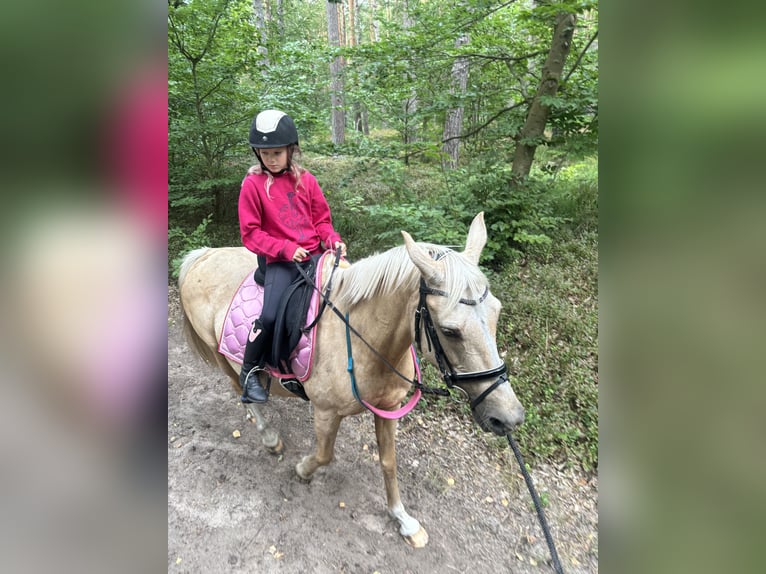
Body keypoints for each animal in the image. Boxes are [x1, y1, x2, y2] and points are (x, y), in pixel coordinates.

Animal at [178, 212, 528, 548]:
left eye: (497, 312)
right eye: (449, 330)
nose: (507, 417)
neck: (364, 337)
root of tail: (203, 255)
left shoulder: (389, 409)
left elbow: (389, 462)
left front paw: (403, 519)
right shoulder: (326, 412)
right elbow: (324, 454)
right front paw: (302, 469)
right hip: (220, 355)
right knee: (240, 388)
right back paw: (268, 436)